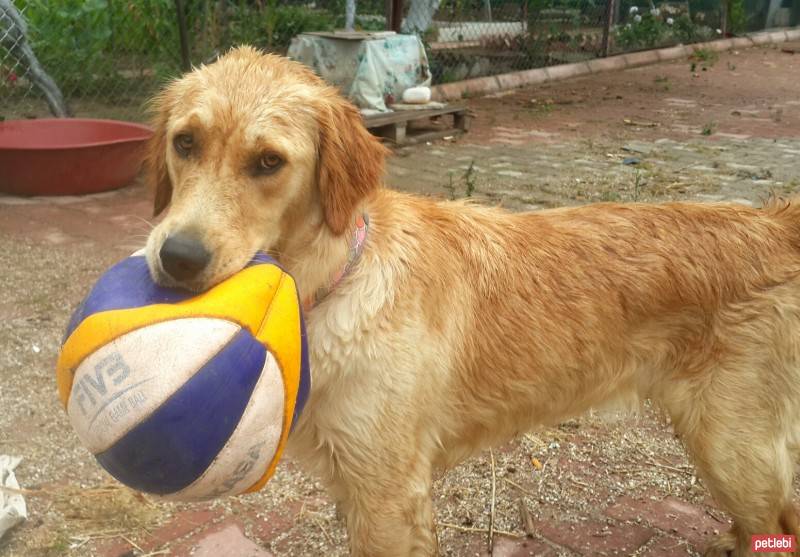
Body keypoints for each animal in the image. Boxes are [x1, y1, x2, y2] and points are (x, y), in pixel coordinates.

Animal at [144, 45, 800, 552]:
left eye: (269, 161)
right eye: (185, 142)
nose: (177, 258)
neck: (335, 279)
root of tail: (774, 223)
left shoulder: (387, 493)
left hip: (729, 444)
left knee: (777, 519)